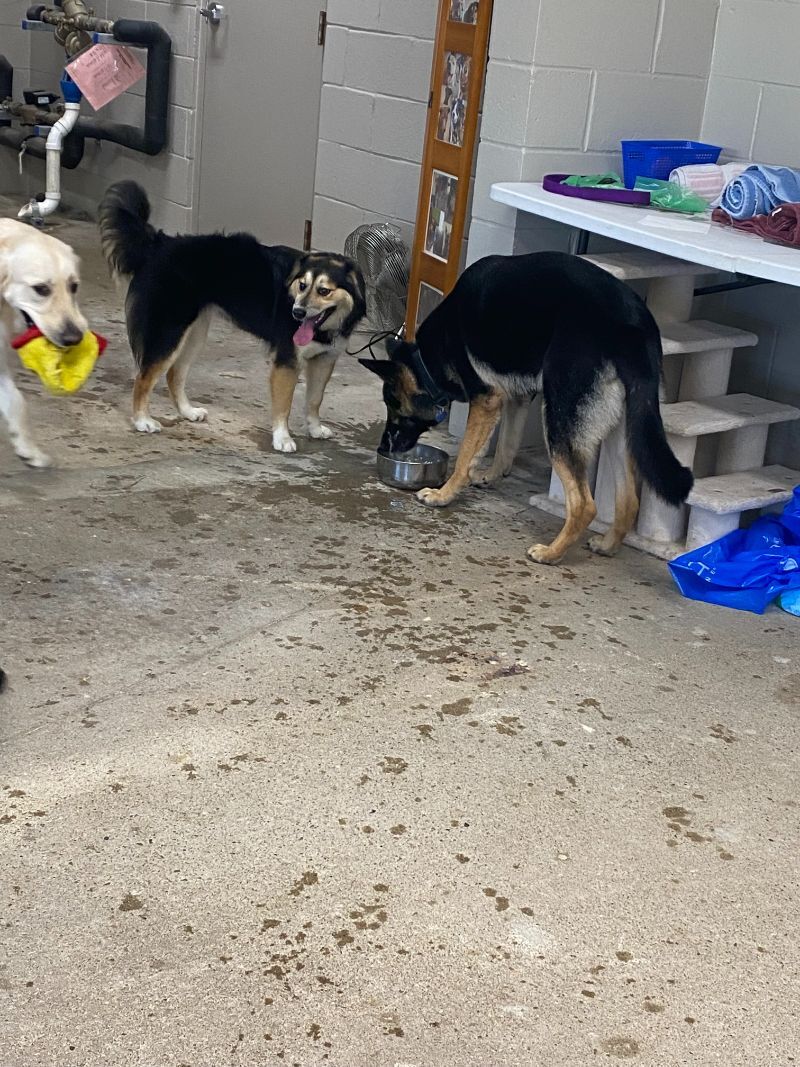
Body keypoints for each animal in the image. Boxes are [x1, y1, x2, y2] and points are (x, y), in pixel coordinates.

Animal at [98, 183, 369, 450]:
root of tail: (158, 243)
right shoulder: (287, 361)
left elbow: (315, 399)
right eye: (302, 285)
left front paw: (314, 428)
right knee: (144, 378)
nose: (297, 312)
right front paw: (282, 438)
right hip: (169, 333)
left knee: (174, 374)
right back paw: (142, 420)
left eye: (324, 291)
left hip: (194, 334)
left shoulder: (325, 360)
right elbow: (284, 404)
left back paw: (187, 412)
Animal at [364, 250, 695, 567]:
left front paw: (443, 494)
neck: (426, 358)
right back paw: (607, 545)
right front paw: (491, 475)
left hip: (560, 420)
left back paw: (552, 553)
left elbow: (467, 456)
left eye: (393, 407)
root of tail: (634, 326)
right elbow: (506, 445)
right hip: (620, 426)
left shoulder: (486, 399)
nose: (383, 448)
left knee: (584, 504)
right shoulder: (516, 398)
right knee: (628, 500)